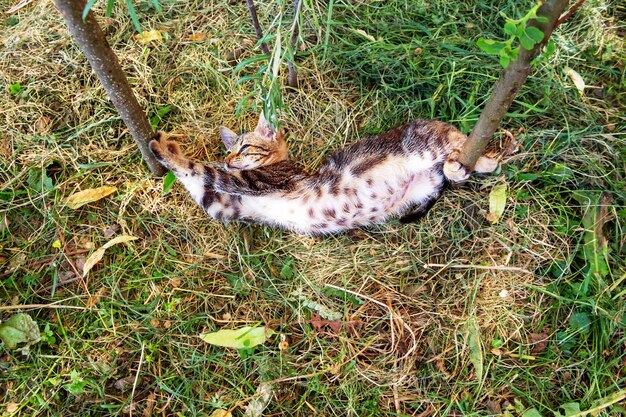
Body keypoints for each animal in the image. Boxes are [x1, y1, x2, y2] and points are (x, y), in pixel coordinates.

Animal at [146, 112, 498, 234]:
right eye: (228, 151)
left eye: (244, 148)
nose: (229, 159)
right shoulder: (227, 205)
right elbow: (201, 184)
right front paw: (170, 145)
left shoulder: (255, 182)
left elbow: (200, 169)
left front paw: (160, 147)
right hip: (425, 185)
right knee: (450, 174)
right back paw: (457, 168)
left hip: (427, 143)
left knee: (458, 138)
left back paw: (484, 158)